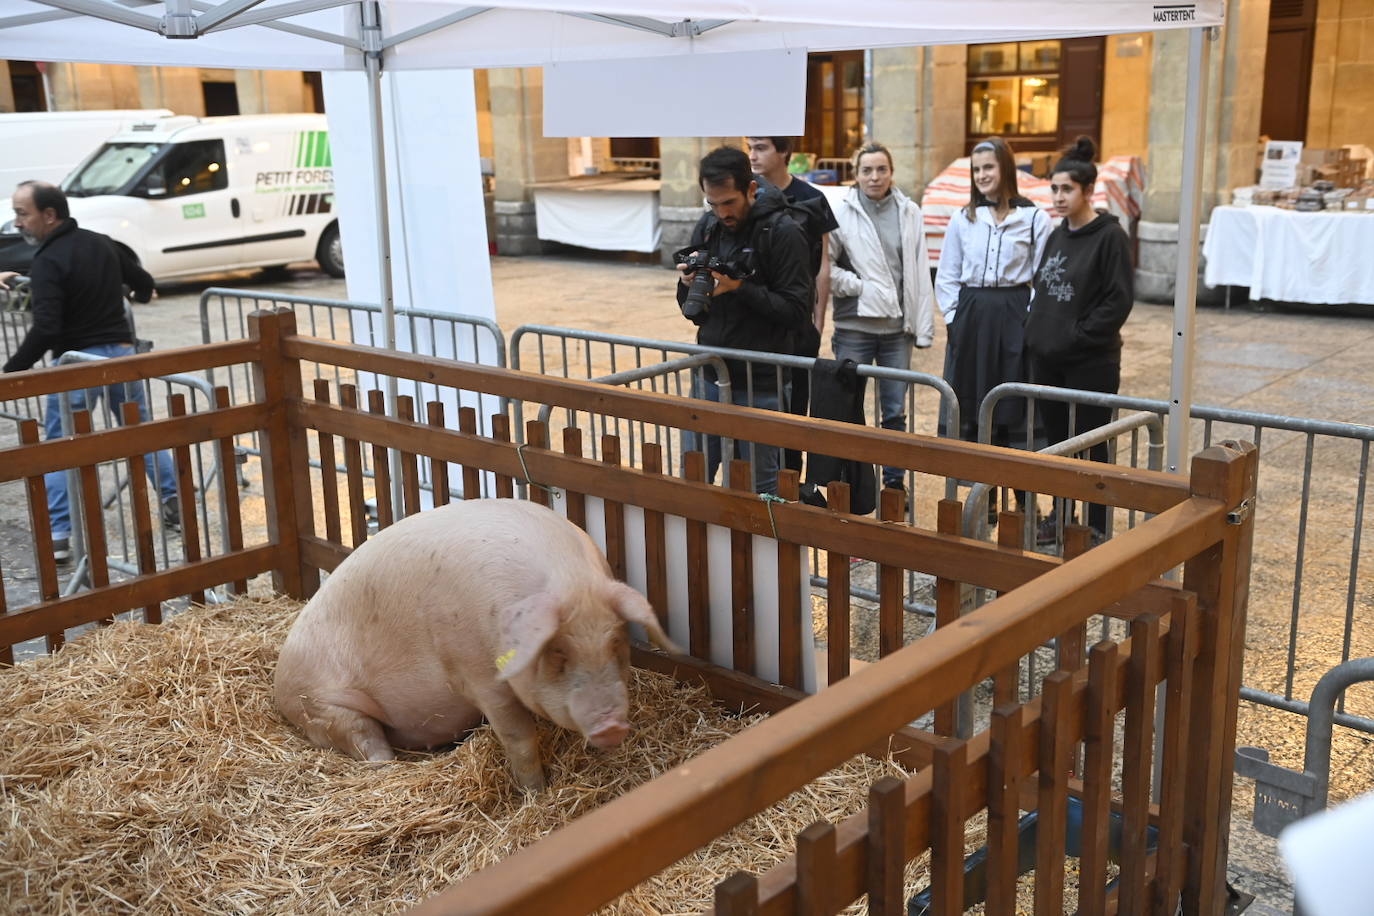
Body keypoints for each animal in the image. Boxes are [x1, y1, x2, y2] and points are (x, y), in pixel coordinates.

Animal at [270, 497, 678, 791]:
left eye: (616, 642)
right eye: (558, 652)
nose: (612, 726)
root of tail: (279, 682)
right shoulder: (477, 674)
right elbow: (519, 738)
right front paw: (535, 793)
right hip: (322, 705)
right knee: (368, 743)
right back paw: (389, 765)